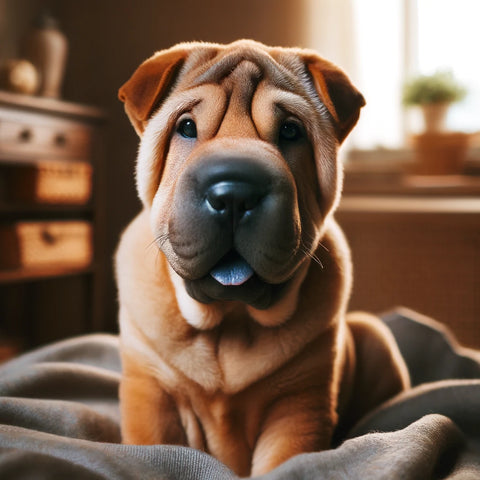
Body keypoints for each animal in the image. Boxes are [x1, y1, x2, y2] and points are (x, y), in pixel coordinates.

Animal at [115, 39, 408, 474]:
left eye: (291, 131)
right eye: (186, 127)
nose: (234, 193)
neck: (231, 323)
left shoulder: (298, 405)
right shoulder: (151, 391)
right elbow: (153, 449)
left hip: (375, 335)